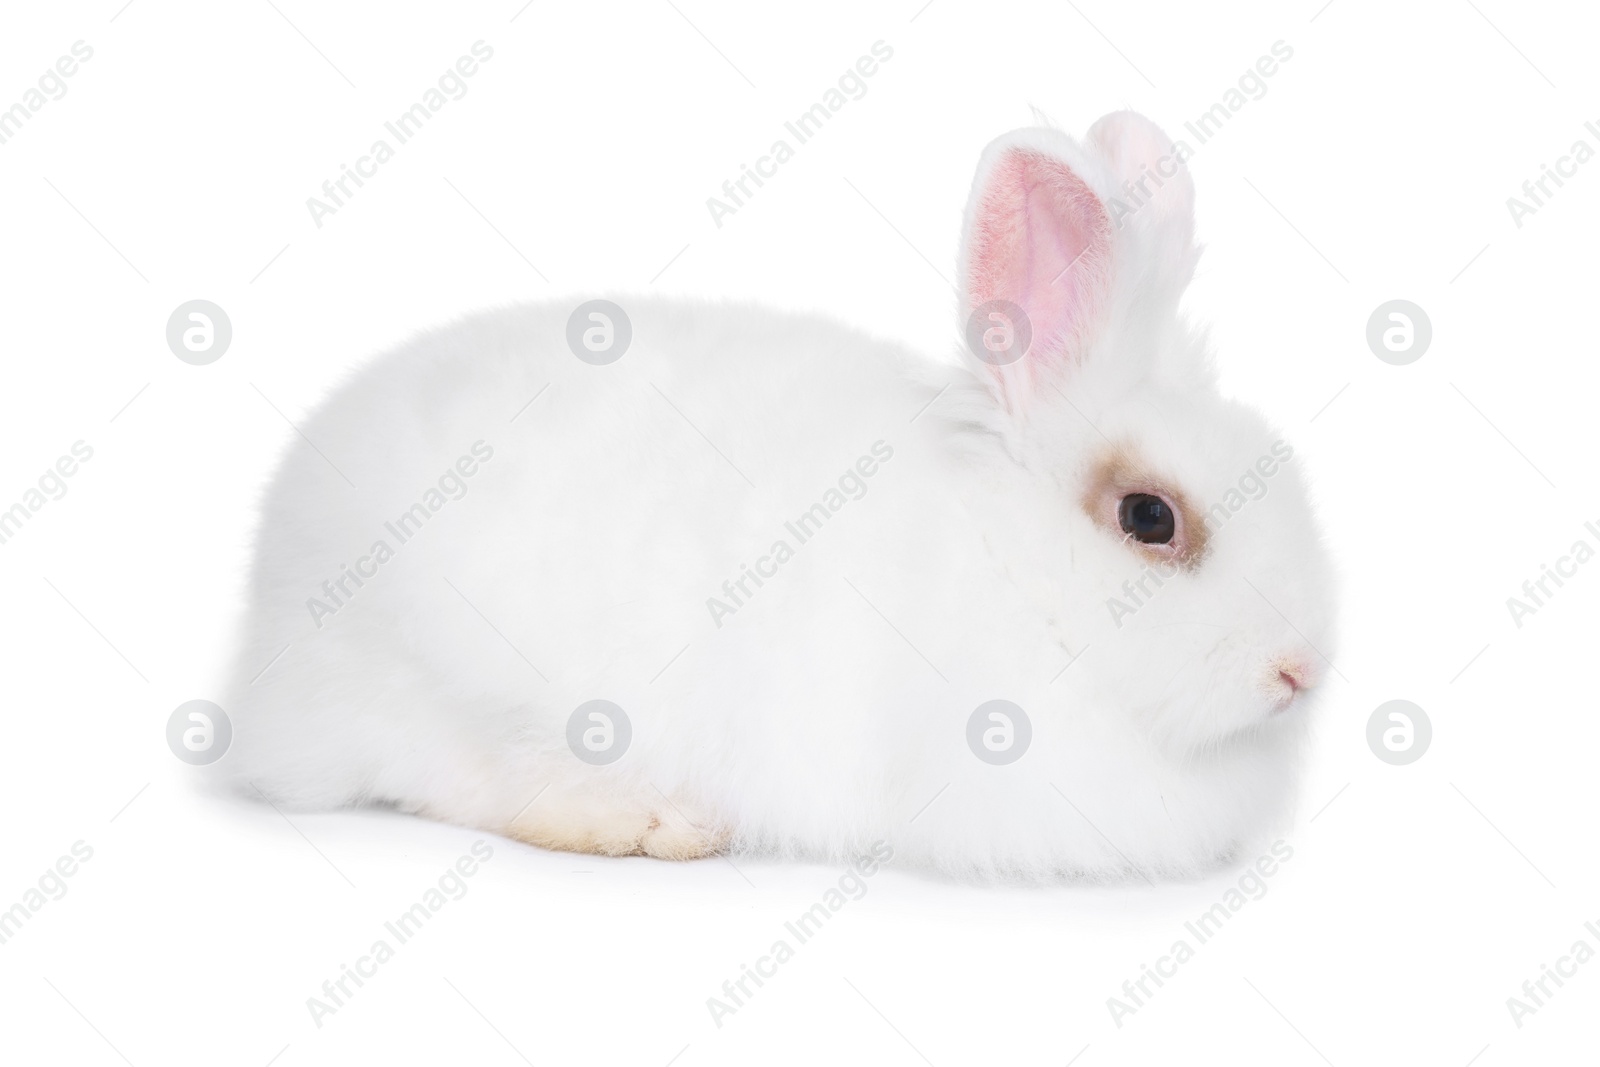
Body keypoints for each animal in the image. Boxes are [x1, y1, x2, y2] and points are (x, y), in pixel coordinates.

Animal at [216, 108, 1337, 883]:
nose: (1300, 671)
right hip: (442, 675)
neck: (1014, 573)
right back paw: (653, 822)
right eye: (1150, 516)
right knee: (456, 775)